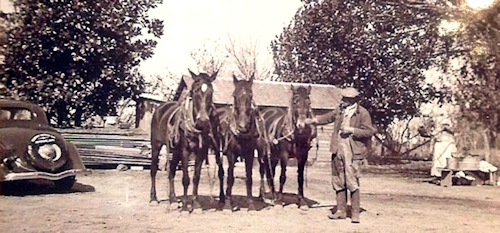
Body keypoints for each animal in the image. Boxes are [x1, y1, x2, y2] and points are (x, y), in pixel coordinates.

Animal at [149, 69, 224, 211]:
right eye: (194, 91)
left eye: (211, 92)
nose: (203, 121)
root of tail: (160, 108)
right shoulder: (185, 151)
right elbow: (185, 179)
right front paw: (185, 207)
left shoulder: (201, 151)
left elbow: (196, 177)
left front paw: (196, 204)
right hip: (156, 145)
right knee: (154, 170)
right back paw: (153, 198)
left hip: (175, 151)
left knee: (171, 171)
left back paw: (173, 200)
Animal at [217, 75, 276, 211]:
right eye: (234, 95)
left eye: (251, 95)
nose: (242, 127)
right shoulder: (231, 154)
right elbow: (230, 178)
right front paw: (228, 204)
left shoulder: (250, 154)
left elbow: (249, 178)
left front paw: (250, 203)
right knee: (221, 173)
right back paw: (222, 197)